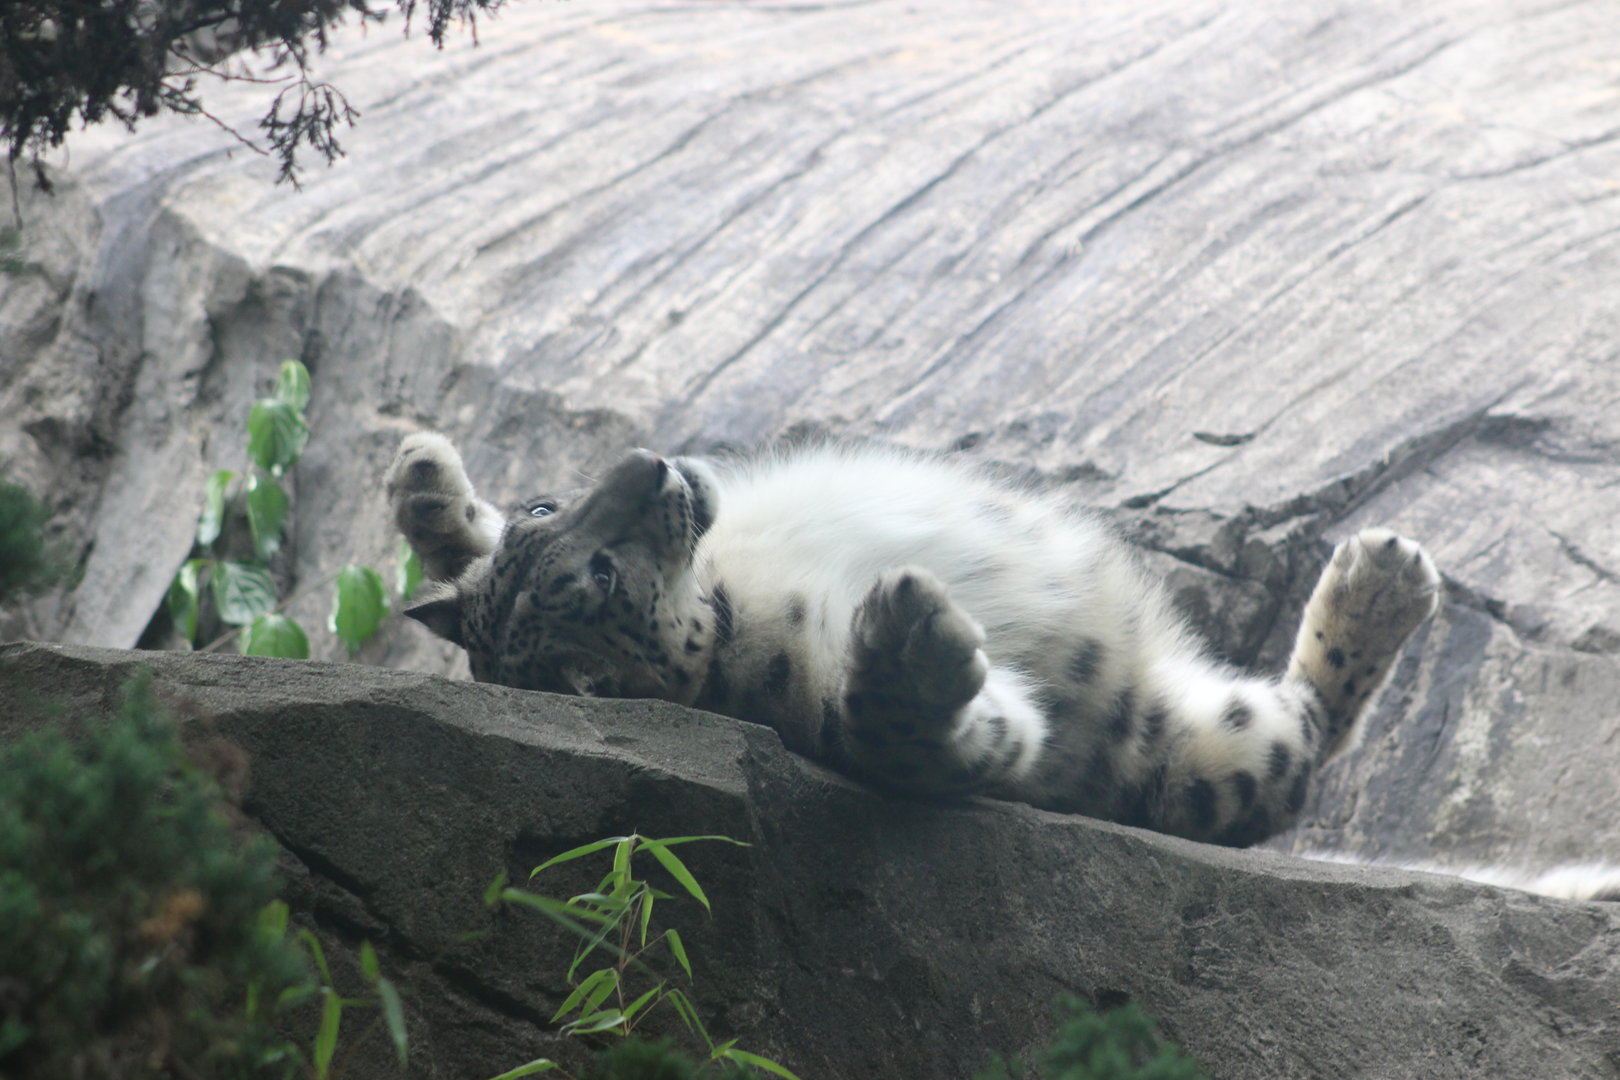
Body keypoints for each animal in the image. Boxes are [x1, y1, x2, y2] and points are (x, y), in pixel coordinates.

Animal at [383, 430, 1619, 895]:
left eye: (550, 509)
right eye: (594, 581)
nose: (650, 464)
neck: (731, 578)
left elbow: (453, 560)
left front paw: (427, 483)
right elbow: (924, 738)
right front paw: (911, 642)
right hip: (1206, 756)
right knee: (1298, 746)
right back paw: (1383, 576)